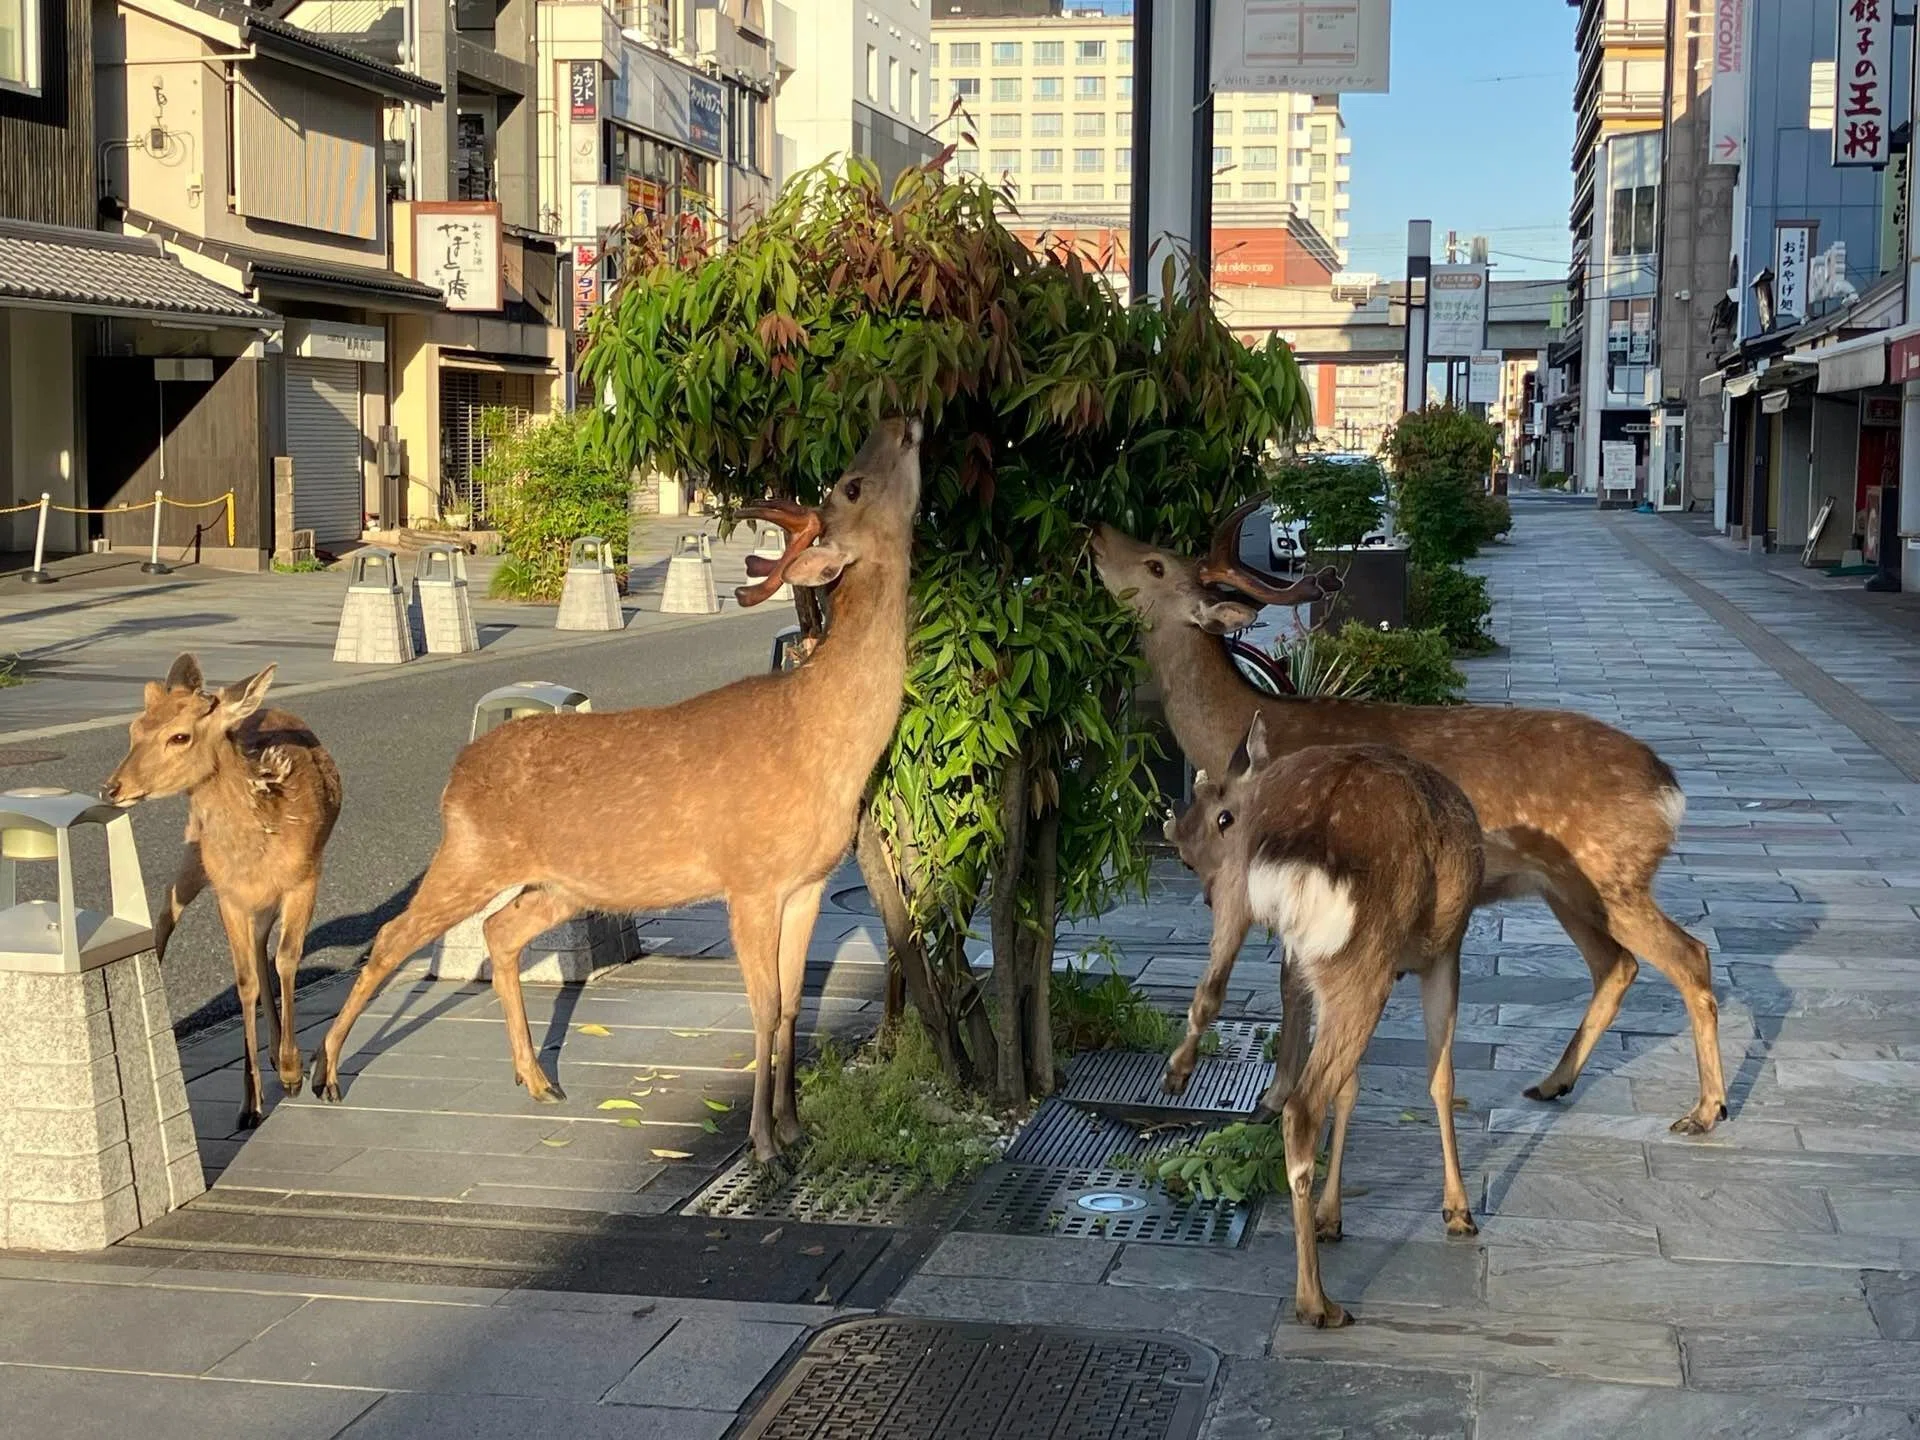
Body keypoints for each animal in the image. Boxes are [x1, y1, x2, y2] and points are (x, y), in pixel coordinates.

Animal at [102, 656, 343, 1130]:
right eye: (134, 729)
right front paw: (249, 1104)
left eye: (180, 736)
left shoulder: (306, 878)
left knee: (265, 945)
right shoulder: (228, 893)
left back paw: (278, 1056)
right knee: (167, 913)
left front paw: (292, 1072)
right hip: (196, 853)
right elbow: (244, 979)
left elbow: (287, 960)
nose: (112, 787)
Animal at [307, 416, 924, 1164]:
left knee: (500, 931)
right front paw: (762, 1143)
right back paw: (326, 1073)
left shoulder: (805, 883)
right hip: (473, 854)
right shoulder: (748, 878)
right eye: (851, 484)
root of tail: (456, 772)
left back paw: (537, 1079)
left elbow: (791, 1006)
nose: (902, 421)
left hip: (563, 883)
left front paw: (795, 1127)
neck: (822, 739)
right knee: (394, 933)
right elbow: (763, 1007)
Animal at [1093, 500, 1727, 1136]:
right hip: (1567, 887)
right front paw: (1274, 1096)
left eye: (1155, 564)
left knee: (1689, 955)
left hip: (1612, 875)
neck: (1247, 730)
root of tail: (1670, 788)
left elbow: (1290, 988)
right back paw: (1553, 1083)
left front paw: (1269, 1099)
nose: (1096, 530)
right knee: (1616, 965)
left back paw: (1704, 1110)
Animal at [1165, 715, 1483, 1329]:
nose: (1184, 851)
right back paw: (1317, 1301)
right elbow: (1440, 1078)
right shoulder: (1445, 951)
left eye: (1222, 815)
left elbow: (1352, 1087)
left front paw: (1331, 1215)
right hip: (1365, 961)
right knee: (1305, 1105)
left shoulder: (1301, 961)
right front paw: (1458, 1210)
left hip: (1255, 909)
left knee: (1210, 993)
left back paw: (1179, 1074)